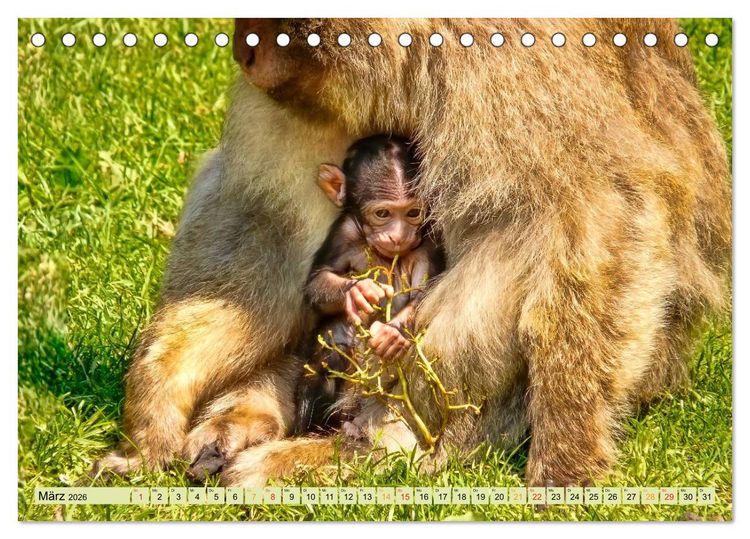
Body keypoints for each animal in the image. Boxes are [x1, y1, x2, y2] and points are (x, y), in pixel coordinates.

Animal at [295, 135, 445, 434]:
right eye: (383, 213)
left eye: (413, 212)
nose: (399, 236)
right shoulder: (344, 231)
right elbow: (318, 280)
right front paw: (357, 292)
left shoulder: (430, 239)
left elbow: (425, 292)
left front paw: (393, 333)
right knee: (329, 350)